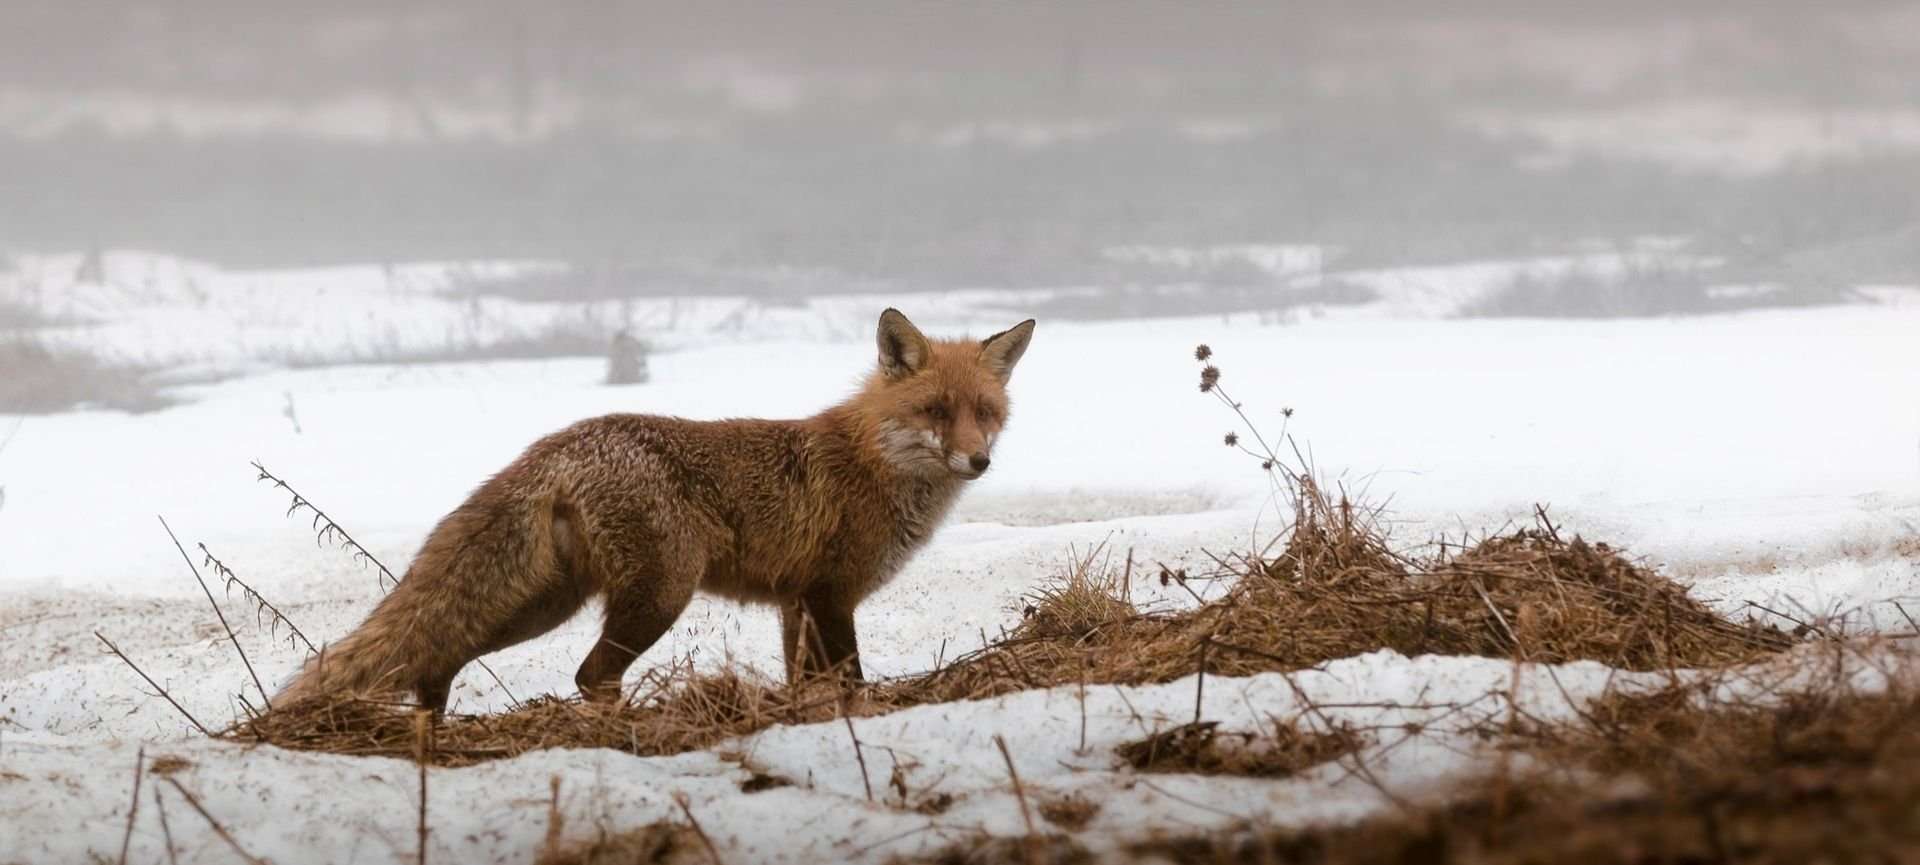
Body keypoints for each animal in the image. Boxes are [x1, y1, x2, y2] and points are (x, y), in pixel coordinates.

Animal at [274, 308, 1036, 713]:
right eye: (935, 411)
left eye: (985, 413)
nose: (979, 461)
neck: (878, 462)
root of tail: (564, 440)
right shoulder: (831, 594)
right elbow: (850, 680)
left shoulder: (795, 603)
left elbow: (805, 682)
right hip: (660, 592)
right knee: (589, 674)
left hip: (547, 601)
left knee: (441, 651)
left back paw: (432, 725)